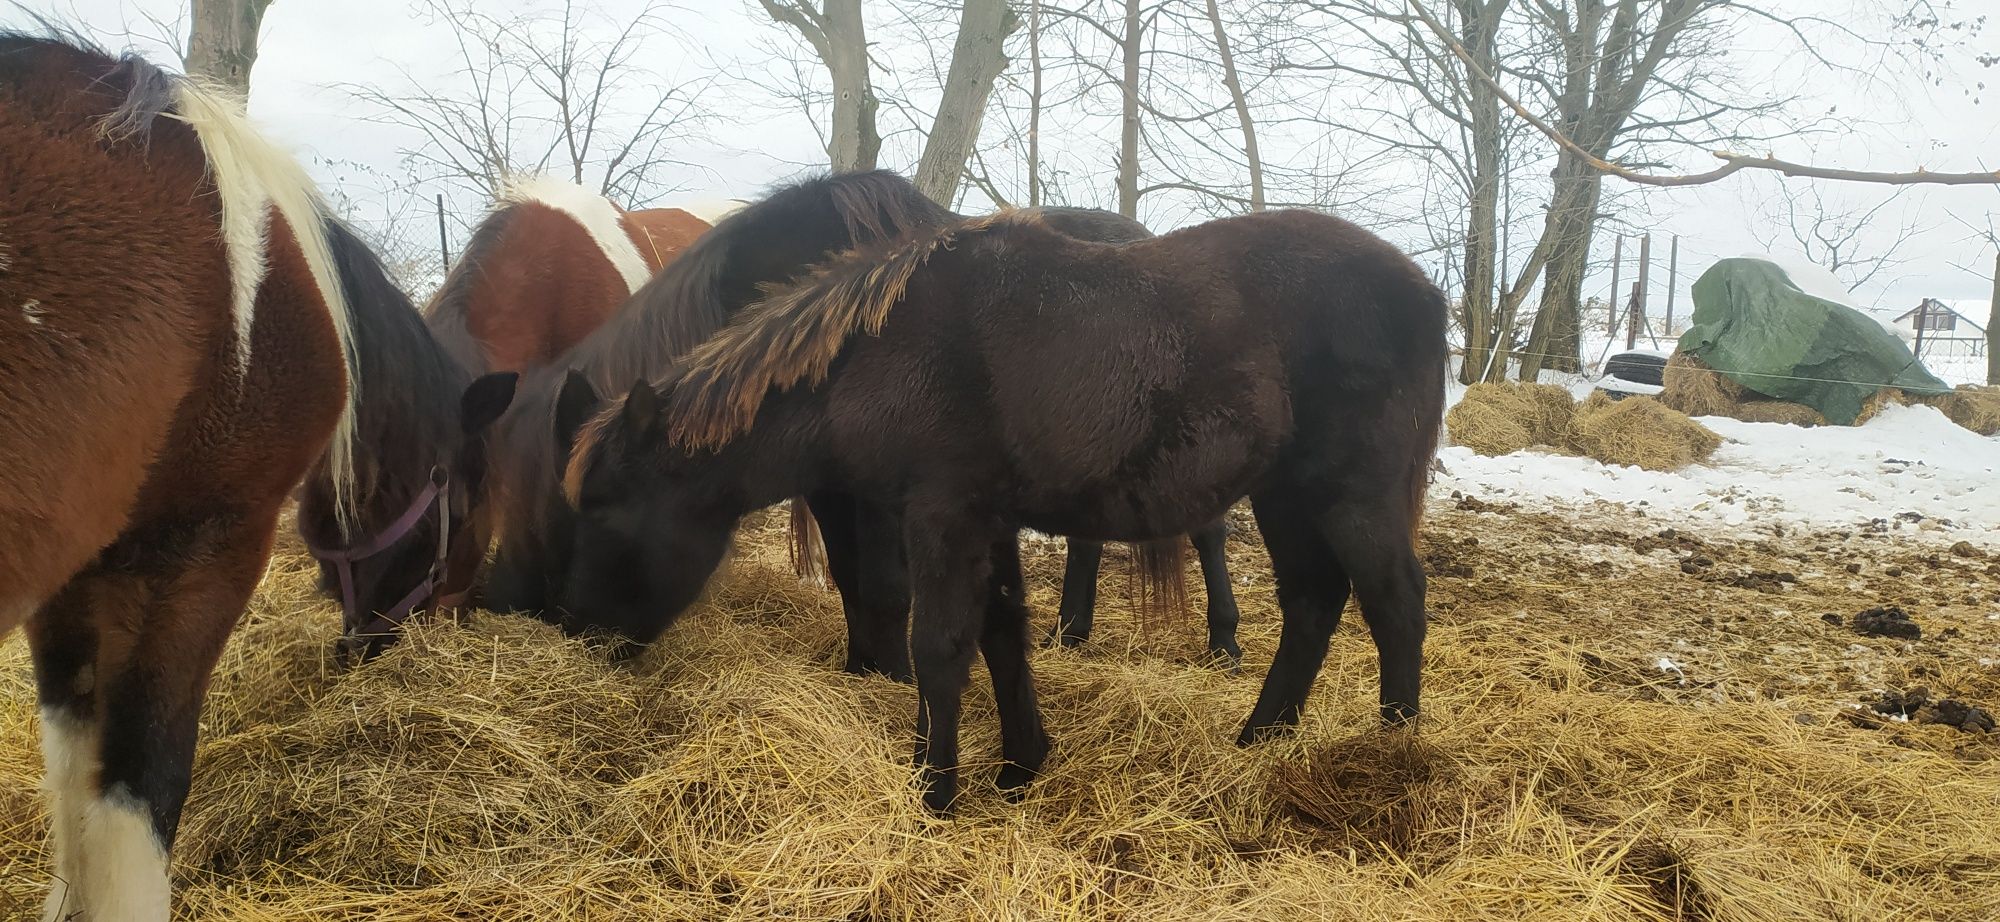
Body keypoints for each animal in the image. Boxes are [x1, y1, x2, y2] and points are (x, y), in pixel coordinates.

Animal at [556, 208, 1448, 812]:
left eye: (603, 511)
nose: (576, 633)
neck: (879, 352)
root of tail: (1424, 290)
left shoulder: (942, 516)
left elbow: (940, 648)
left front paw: (933, 791)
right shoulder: (986, 521)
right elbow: (1002, 633)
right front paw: (1020, 766)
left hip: (1350, 495)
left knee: (1395, 604)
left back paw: (1395, 757)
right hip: (1285, 496)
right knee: (1313, 602)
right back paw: (1262, 738)